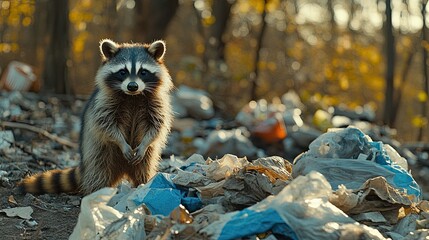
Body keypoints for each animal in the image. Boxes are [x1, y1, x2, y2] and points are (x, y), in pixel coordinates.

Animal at [18, 39, 172, 195]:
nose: (132, 86)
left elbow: (156, 126)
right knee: (99, 171)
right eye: (123, 72)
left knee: (144, 168)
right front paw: (121, 142)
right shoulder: (103, 103)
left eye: (143, 72)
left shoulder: (157, 103)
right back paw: (97, 192)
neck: (133, 96)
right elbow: (106, 125)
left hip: (146, 157)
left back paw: (144, 184)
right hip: (96, 152)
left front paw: (145, 143)